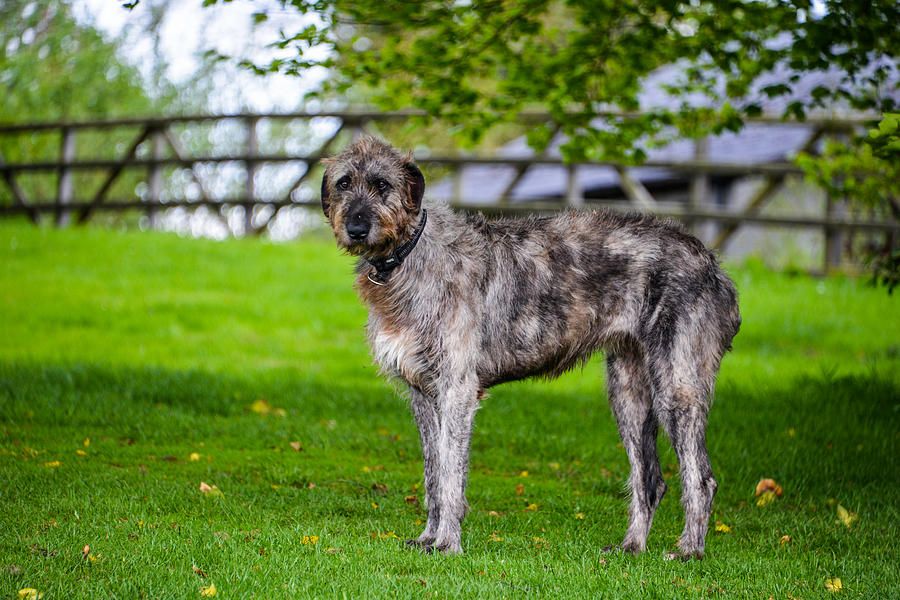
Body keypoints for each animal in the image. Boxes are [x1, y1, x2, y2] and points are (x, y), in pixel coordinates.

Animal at [320, 136, 740, 556]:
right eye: (344, 183)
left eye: (382, 185)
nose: (356, 227)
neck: (410, 253)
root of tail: (714, 267)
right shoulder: (422, 394)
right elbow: (433, 474)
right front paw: (428, 538)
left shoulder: (457, 388)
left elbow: (451, 473)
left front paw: (448, 543)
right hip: (628, 393)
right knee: (650, 478)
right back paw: (631, 546)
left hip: (677, 387)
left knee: (701, 478)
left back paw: (689, 550)